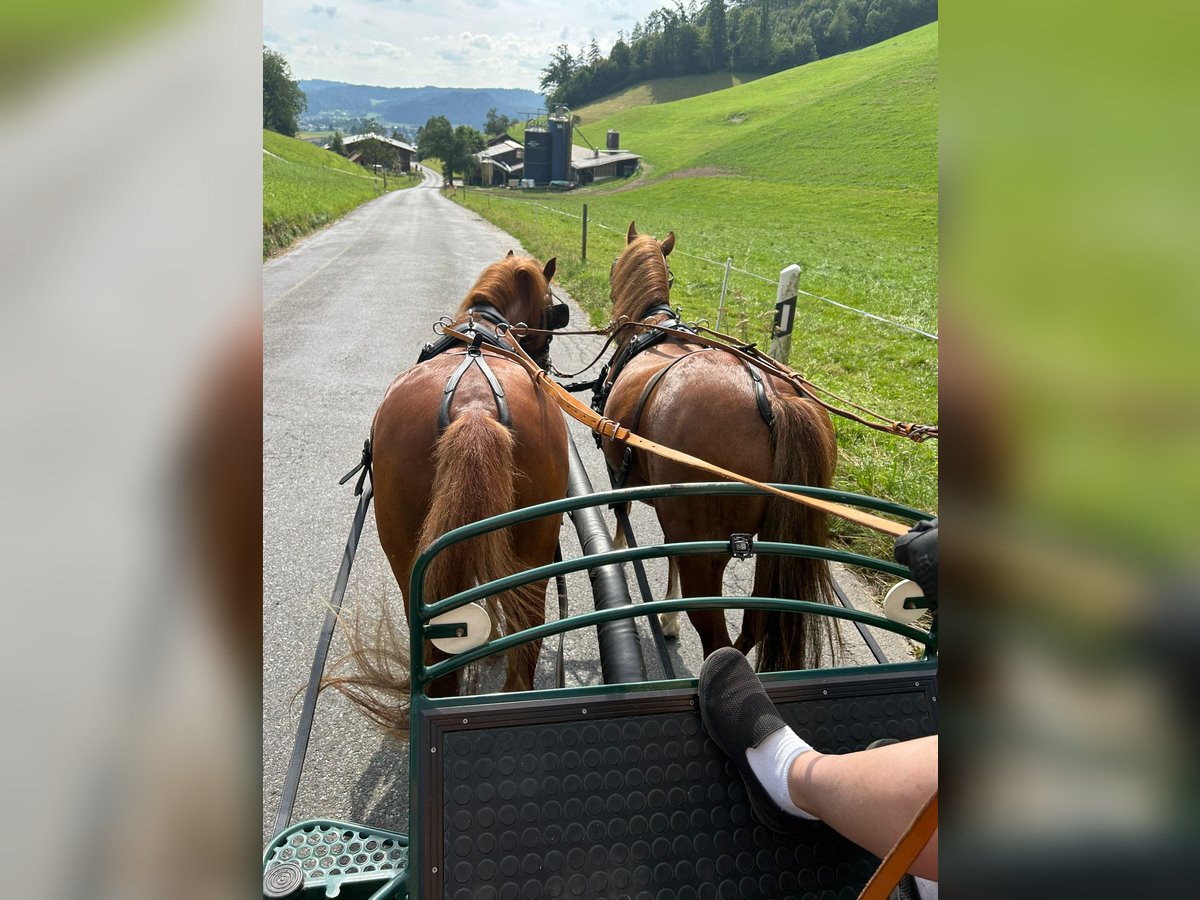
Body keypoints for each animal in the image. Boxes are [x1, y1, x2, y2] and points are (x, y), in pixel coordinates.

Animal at [604, 225, 840, 672]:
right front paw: (668, 618)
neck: (653, 326)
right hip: (772, 544)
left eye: (612, 266)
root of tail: (775, 399)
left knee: (716, 635)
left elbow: (621, 521)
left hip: (707, 549)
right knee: (754, 624)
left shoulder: (620, 475)